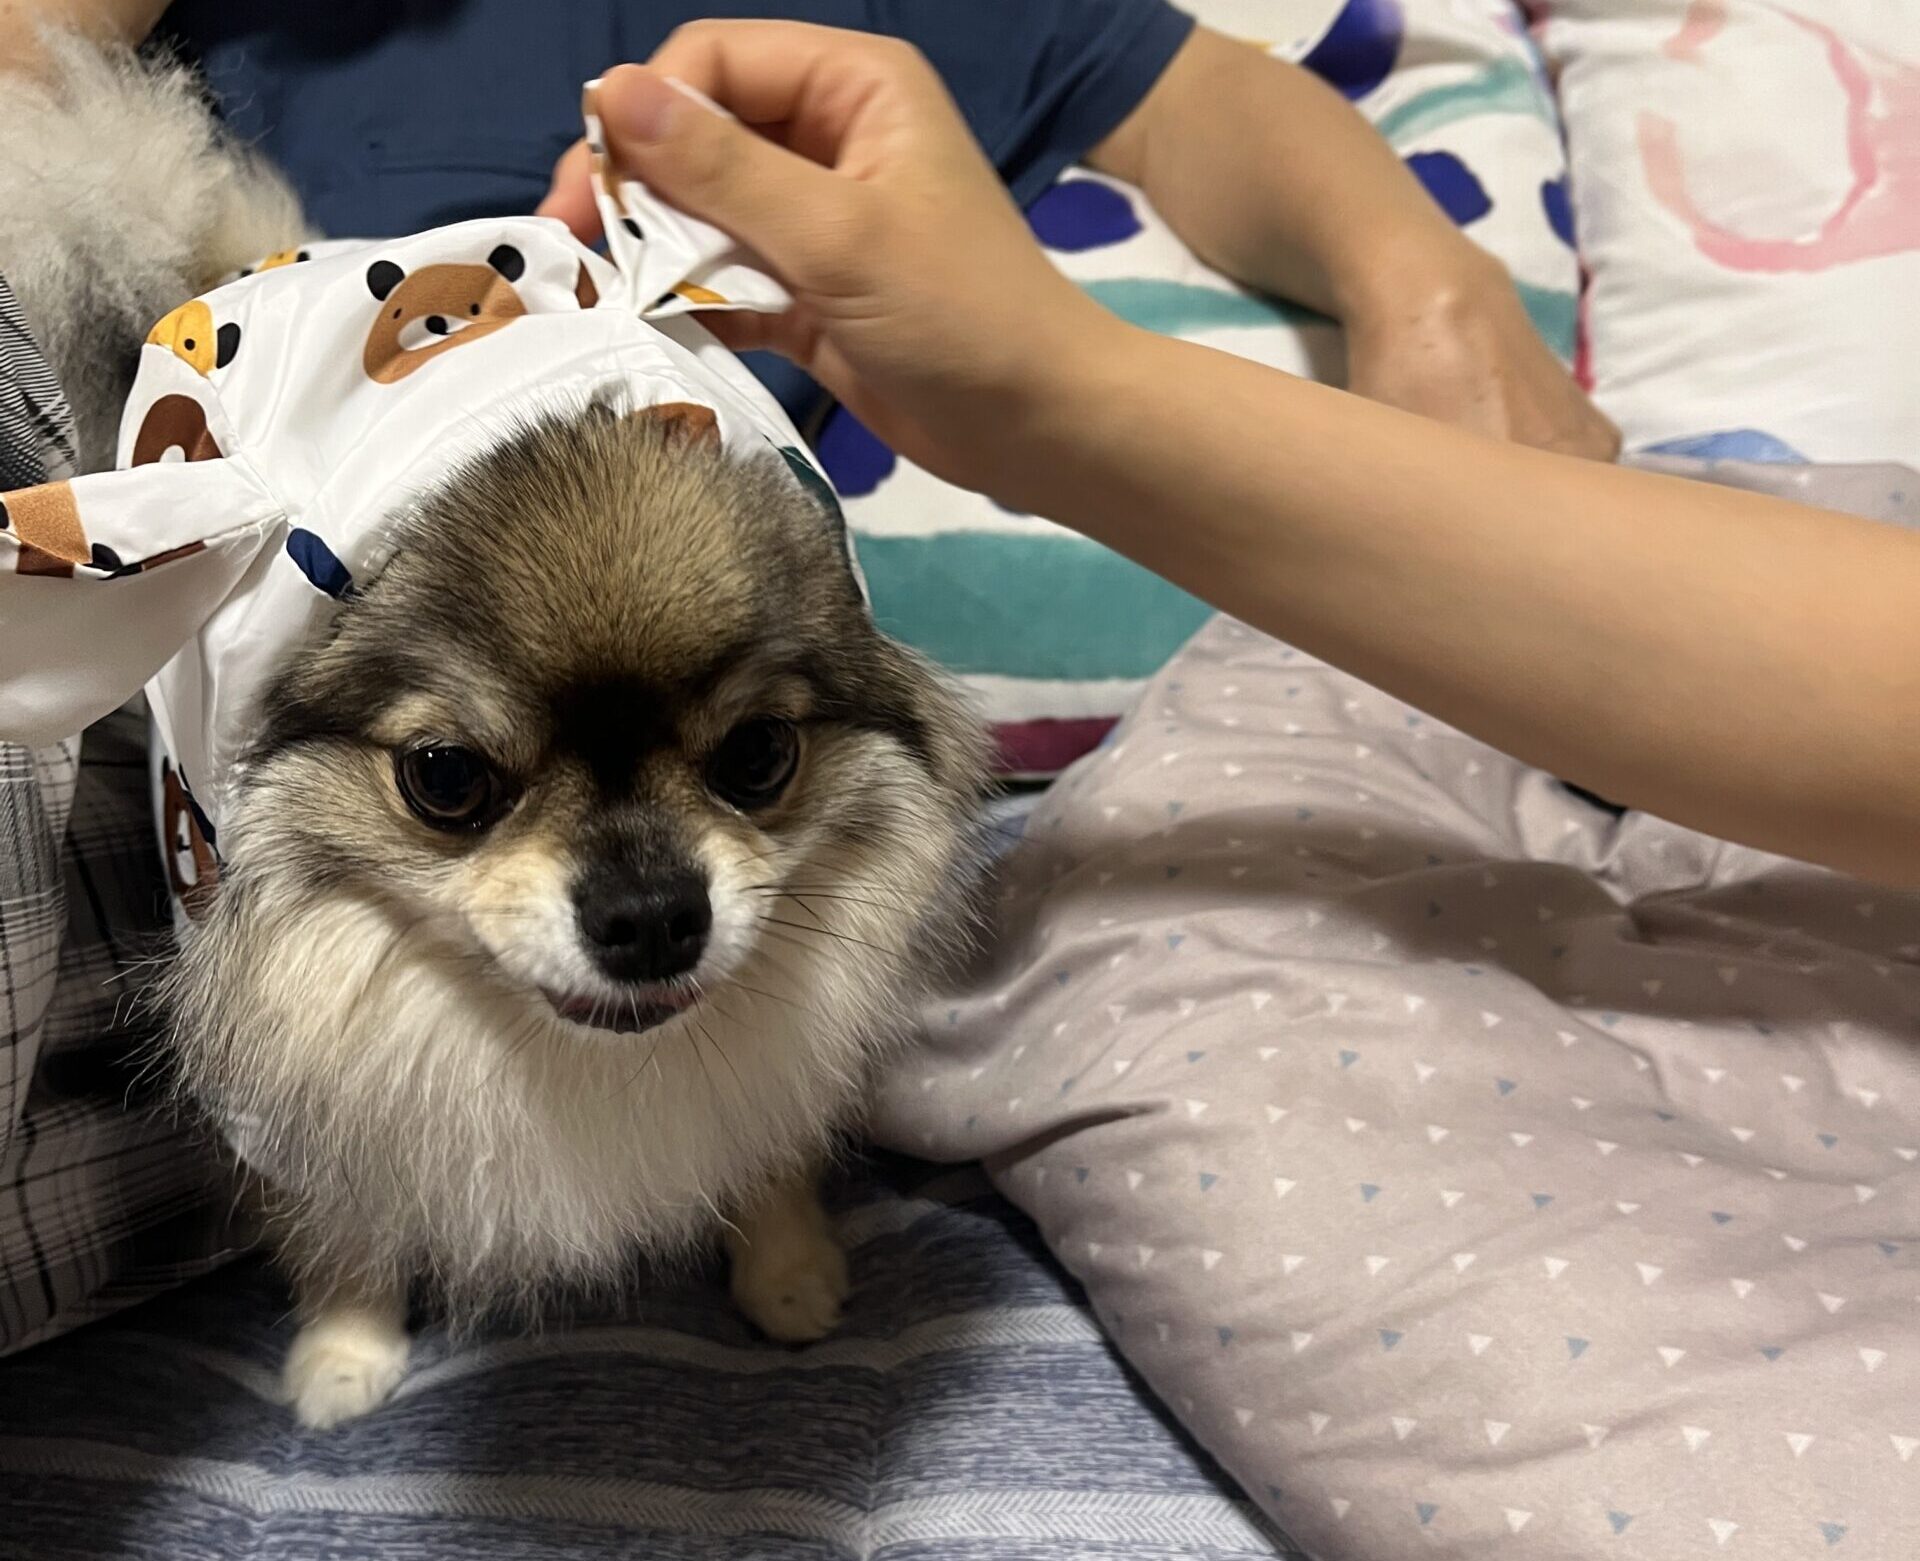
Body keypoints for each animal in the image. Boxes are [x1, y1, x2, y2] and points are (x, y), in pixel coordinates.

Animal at [15, 27, 998, 1428]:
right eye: (446, 777)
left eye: (760, 756)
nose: (651, 916)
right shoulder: (283, 1079)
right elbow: (340, 1217)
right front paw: (347, 1347)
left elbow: (765, 1137)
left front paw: (789, 1264)